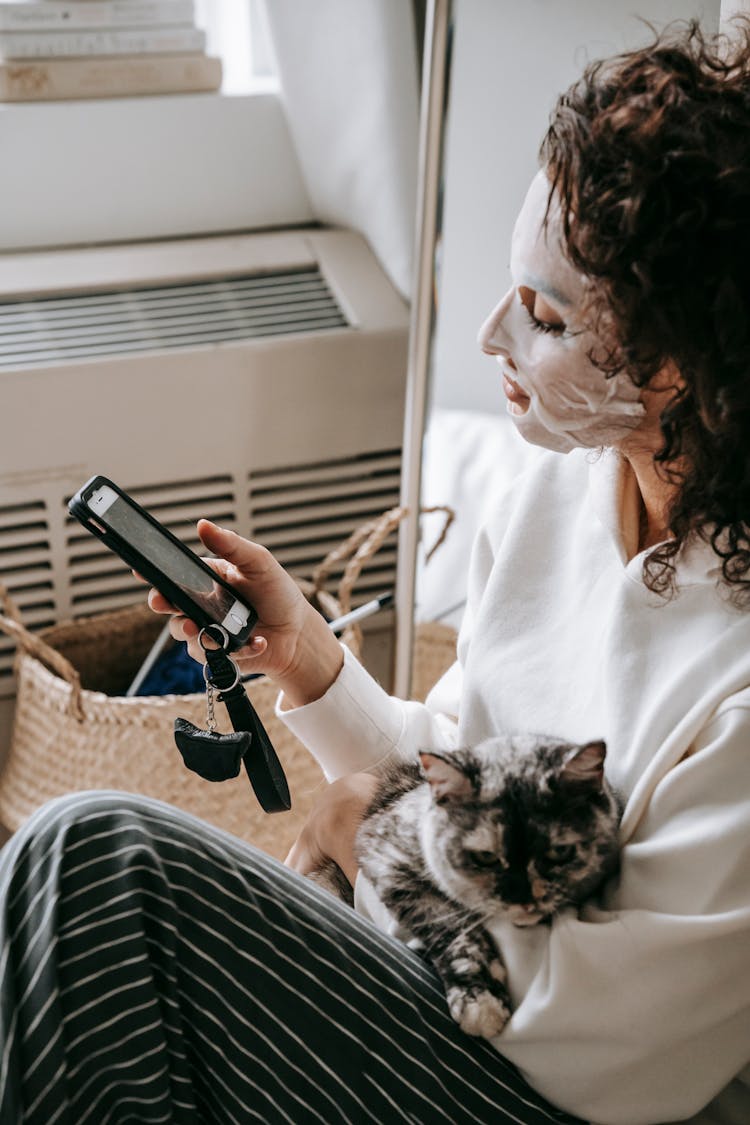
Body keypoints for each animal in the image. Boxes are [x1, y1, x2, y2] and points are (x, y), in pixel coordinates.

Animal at [310, 733, 620, 1039]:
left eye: (560, 852)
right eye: (485, 857)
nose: (522, 898)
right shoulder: (386, 855)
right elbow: (453, 929)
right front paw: (479, 1000)